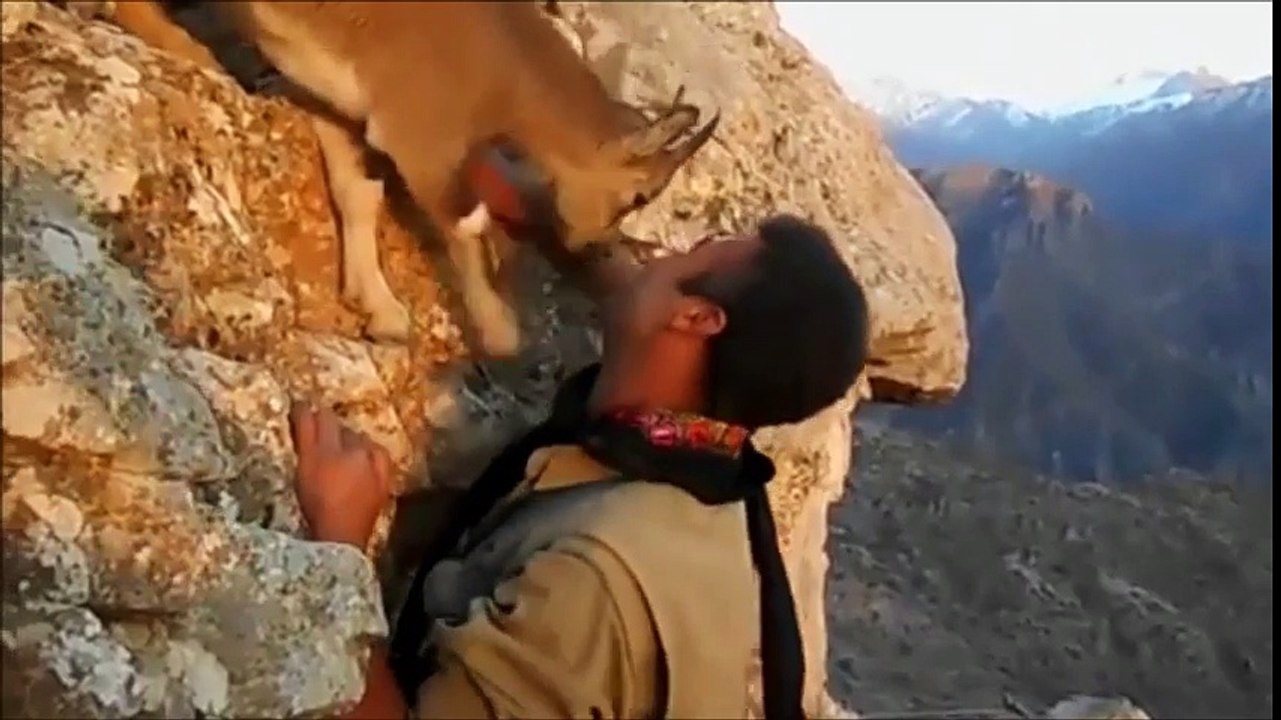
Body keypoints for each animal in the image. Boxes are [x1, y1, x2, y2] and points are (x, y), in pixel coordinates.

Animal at [67, 1, 719, 357]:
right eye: (637, 193)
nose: (592, 246)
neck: (505, 72)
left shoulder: (342, 106)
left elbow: (358, 194)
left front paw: (378, 311)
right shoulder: (420, 136)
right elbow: (463, 223)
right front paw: (499, 331)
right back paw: (186, 47)